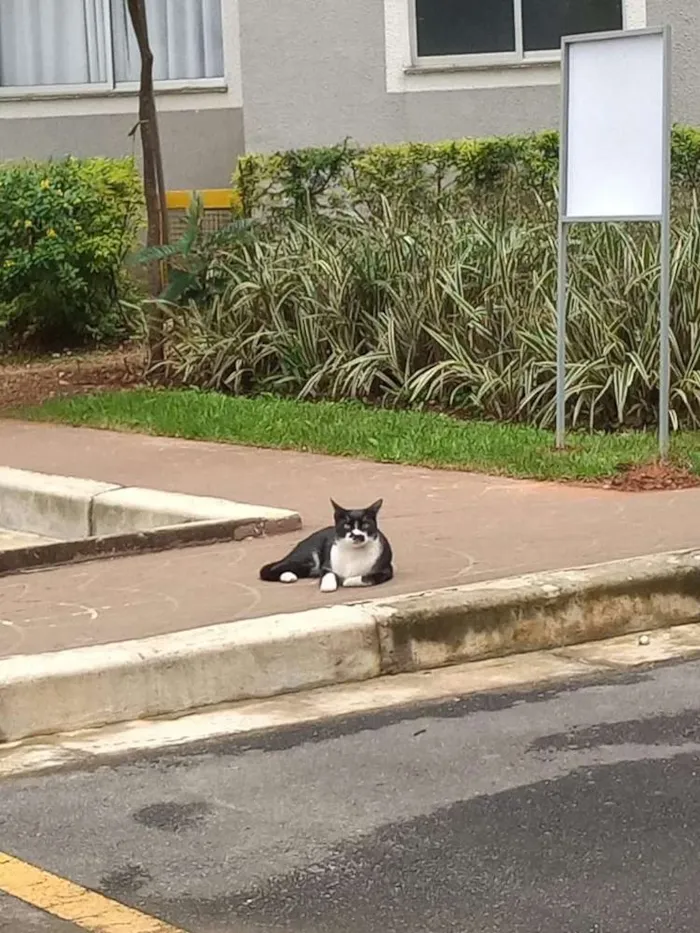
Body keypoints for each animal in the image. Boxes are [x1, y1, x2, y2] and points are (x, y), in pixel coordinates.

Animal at [262, 498, 396, 592]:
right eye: (347, 526)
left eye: (365, 525)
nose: (357, 535)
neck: (353, 553)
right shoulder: (327, 566)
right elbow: (328, 575)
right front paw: (328, 585)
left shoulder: (386, 571)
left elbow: (365, 578)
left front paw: (347, 580)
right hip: (308, 557)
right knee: (271, 569)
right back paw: (288, 575)